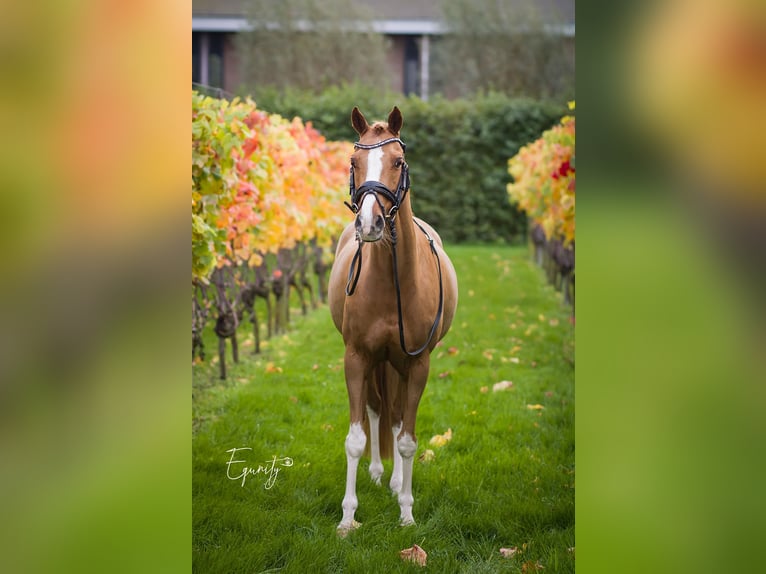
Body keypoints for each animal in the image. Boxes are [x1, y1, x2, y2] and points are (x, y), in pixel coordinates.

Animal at [328, 106, 459, 535]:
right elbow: (356, 437)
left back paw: (398, 482)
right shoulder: (356, 358)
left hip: (400, 365)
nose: (369, 225)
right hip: (377, 363)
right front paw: (348, 518)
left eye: (398, 162)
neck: (390, 280)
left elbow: (406, 439)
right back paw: (376, 474)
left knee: (398, 417)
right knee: (376, 409)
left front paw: (406, 512)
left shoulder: (418, 364)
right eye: (353, 162)